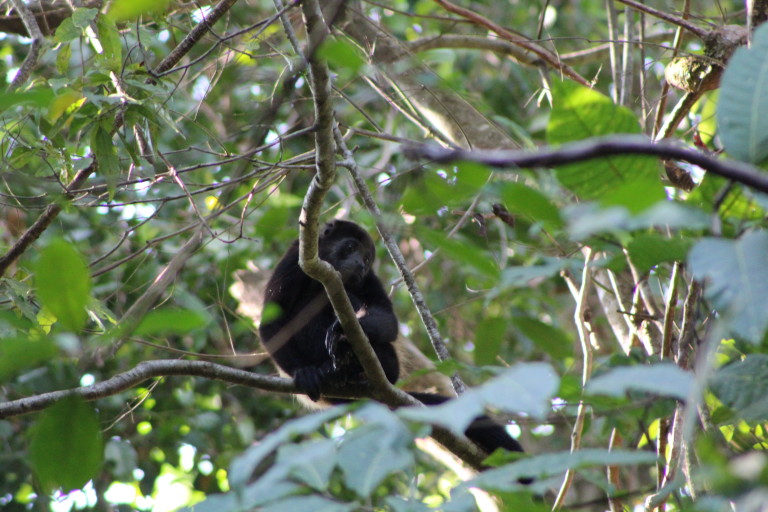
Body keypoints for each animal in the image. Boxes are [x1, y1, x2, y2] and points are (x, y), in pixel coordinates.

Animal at [260, 220, 524, 456]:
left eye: (366, 260)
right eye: (350, 247)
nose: (359, 264)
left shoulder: (370, 277)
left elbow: (389, 321)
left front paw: (343, 330)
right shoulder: (292, 262)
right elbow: (271, 324)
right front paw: (304, 372)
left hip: (389, 365)